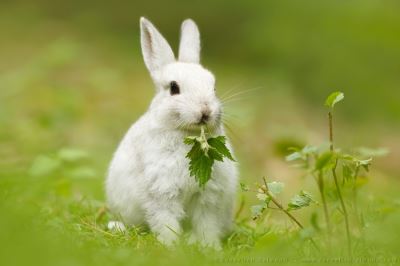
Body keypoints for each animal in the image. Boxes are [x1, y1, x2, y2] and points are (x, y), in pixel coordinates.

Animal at [104, 17, 239, 249]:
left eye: (213, 87)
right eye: (174, 88)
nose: (205, 111)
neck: (188, 136)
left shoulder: (207, 196)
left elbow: (206, 224)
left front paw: (209, 247)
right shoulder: (161, 192)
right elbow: (166, 221)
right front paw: (171, 246)